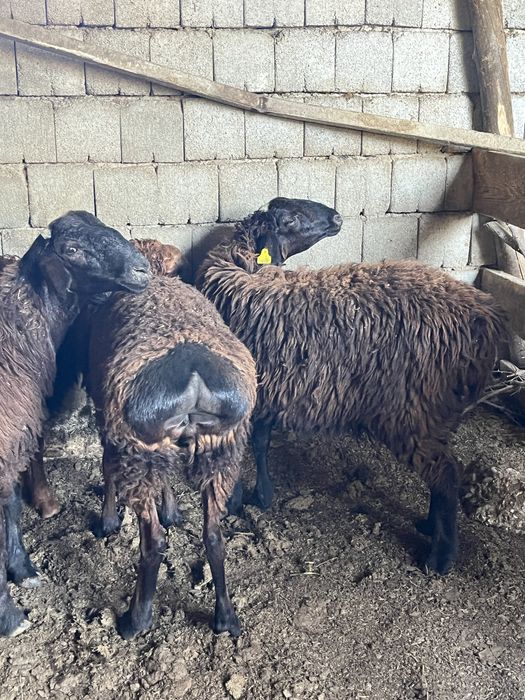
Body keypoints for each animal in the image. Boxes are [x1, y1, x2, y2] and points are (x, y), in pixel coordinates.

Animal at [196, 197, 507, 575]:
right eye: (289, 218)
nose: (336, 216)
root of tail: (485, 318)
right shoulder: (269, 389)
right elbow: (260, 442)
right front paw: (263, 495)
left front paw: (237, 499)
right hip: (436, 413)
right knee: (443, 472)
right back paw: (429, 526)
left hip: (413, 413)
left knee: (447, 475)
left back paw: (440, 557)